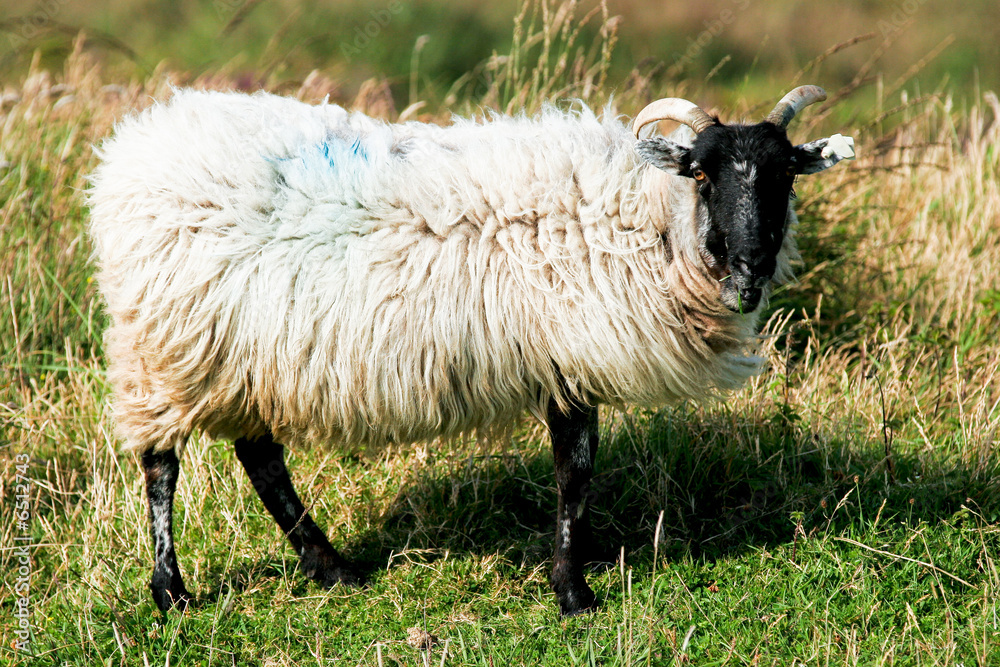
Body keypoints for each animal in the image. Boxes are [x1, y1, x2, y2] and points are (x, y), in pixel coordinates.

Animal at [87, 85, 854, 616]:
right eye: (701, 173)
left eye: (786, 175)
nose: (751, 269)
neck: (648, 222)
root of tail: (131, 150)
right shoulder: (568, 356)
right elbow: (575, 474)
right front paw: (574, 592)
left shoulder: (562, 360)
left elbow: (574, 473)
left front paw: (571, 581)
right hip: (164, 345)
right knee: (161, 463)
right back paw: (171, 590)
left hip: (246, 354)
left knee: (260, 458)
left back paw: (331, 566)